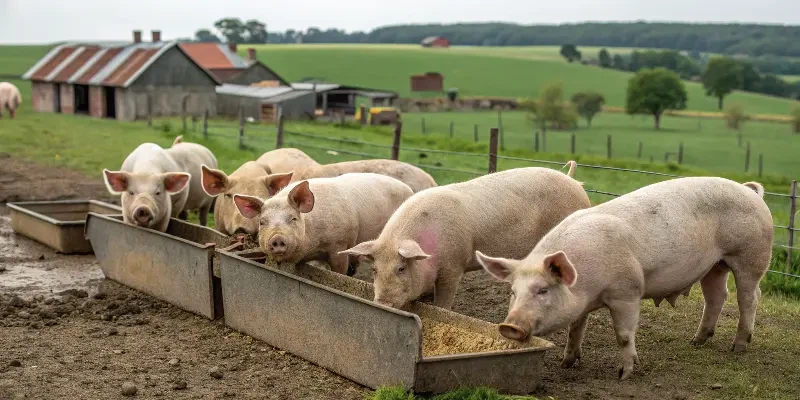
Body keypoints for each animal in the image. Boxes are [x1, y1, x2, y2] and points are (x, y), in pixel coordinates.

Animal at [233, 172, 414, 274]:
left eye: (293, 218)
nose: (277, 238)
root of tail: (409, 189)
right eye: (262, 222)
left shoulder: (340, 244)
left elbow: (339, 271)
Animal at [339, 163, 590, 310]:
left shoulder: (454, 265)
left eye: (401, 268)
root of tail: (574, 181)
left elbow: (444, 301)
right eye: (374, 270)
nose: (382, 303)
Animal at [475, 177, 772, 380]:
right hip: (715, 265)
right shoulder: (583, 303)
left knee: (750, 297)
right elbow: (575, 328)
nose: (509, 326)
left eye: (543, 290)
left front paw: (624, 374)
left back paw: (738, 347)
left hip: (752, 256)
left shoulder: (627, 291)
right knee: (717, 296)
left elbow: (624, 335)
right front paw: (566, 363)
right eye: (513, 292)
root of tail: (750, 191)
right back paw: (696, 341)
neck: (586, 286)